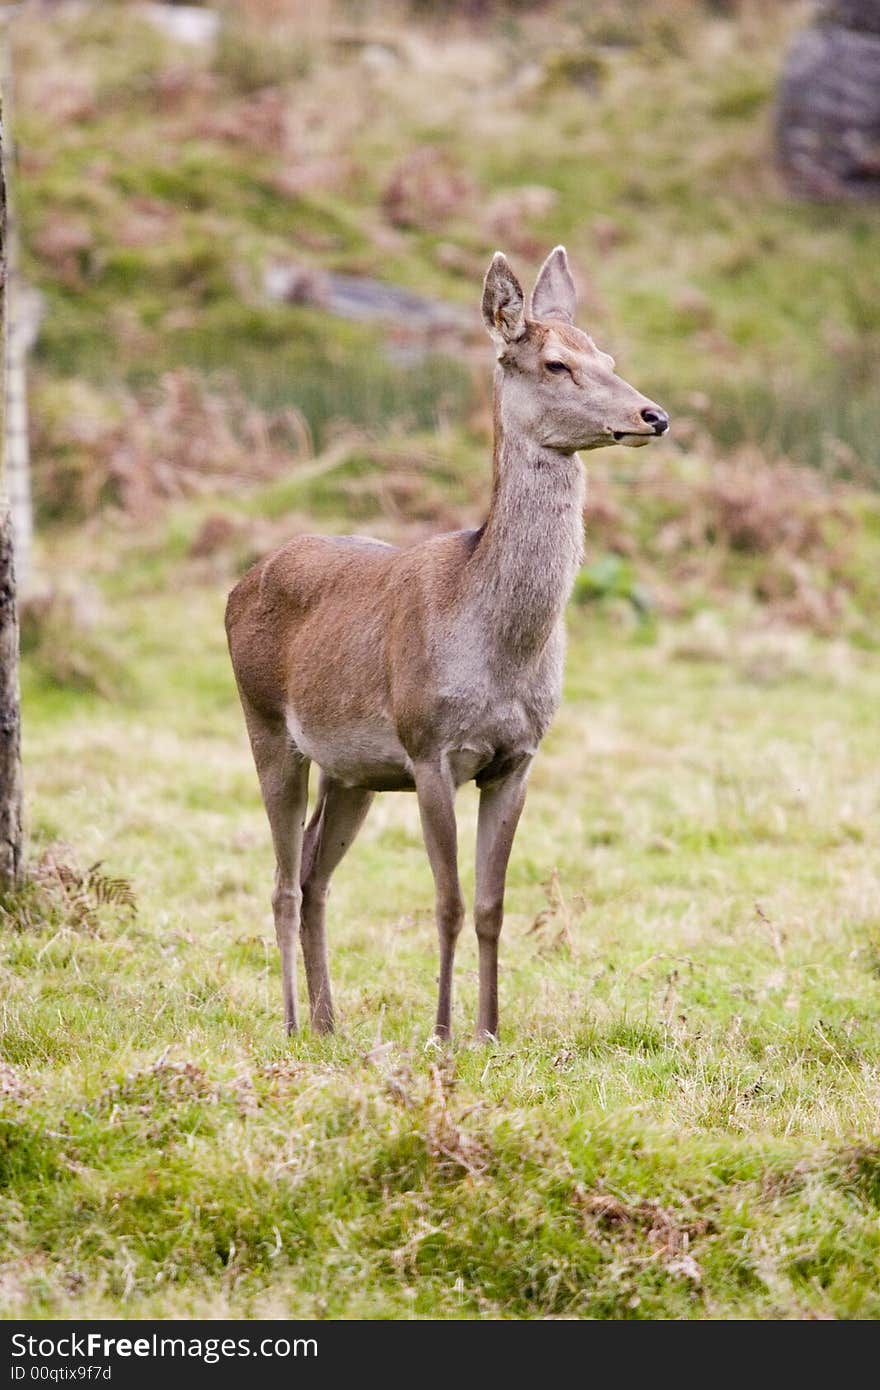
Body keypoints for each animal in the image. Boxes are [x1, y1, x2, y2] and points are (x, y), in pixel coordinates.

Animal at [225, 244, 664, 1039]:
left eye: (608, 355)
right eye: (555, 363)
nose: (655, 414)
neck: (497, 645)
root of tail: (237, 585)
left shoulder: (518, 759)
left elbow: (492, 905)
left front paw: (489, 1030)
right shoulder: (430, 748)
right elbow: (448, 902)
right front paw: (442, 1031)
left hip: (351, 771)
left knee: (313, 873)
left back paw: (331, 1022)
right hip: (266, 723)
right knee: (281, 882)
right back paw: (294, 1022)